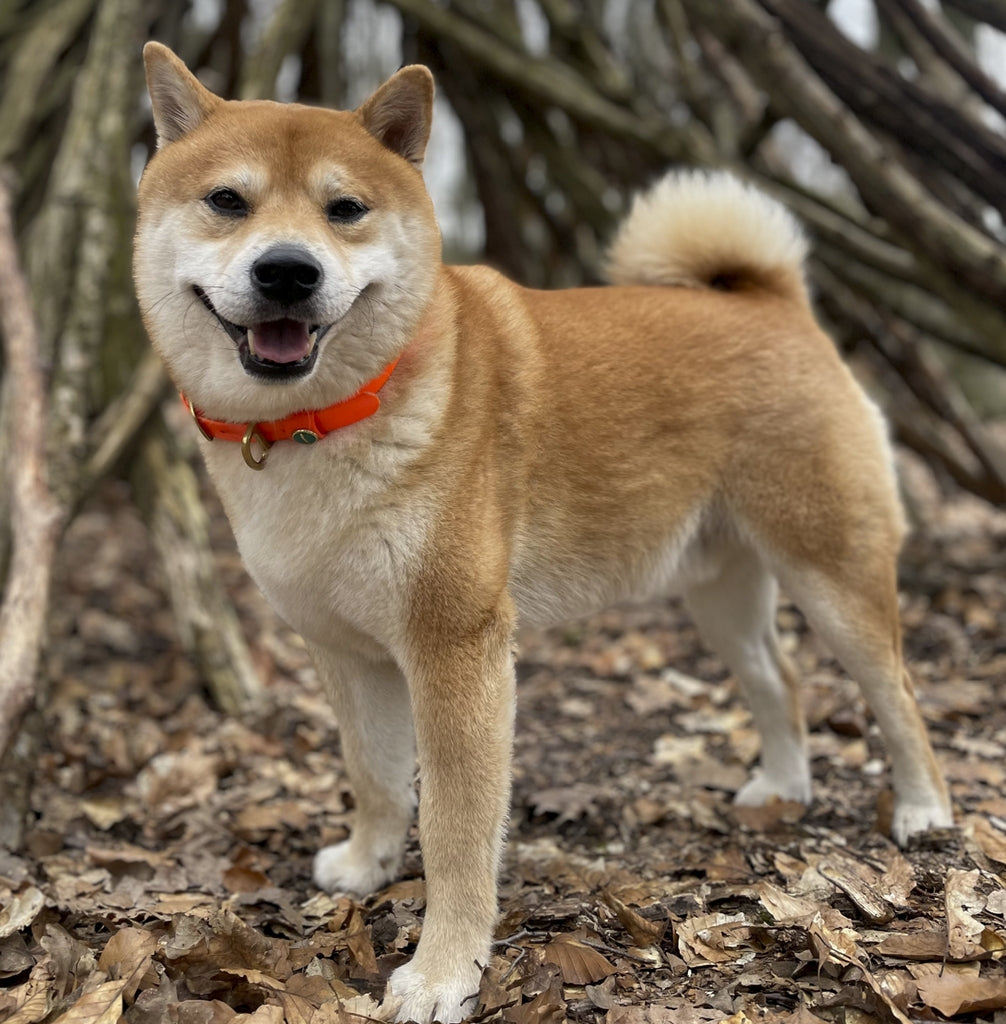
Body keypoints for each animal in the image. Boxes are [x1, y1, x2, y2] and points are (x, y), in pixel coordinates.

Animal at [134, 41, 954, 1024]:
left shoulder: (455, 651)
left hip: (832, 576)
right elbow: (375, 775)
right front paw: (367, 866)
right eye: (228, 201)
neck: (321, 423)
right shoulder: (346, 650)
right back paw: (782, 790)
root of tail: (773, 302)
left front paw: (442, 973)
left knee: (897, 694)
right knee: (780, 680)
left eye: (345, 210)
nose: (288, 271)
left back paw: (924, 811)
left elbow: (454, 828)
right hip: (719, 593)